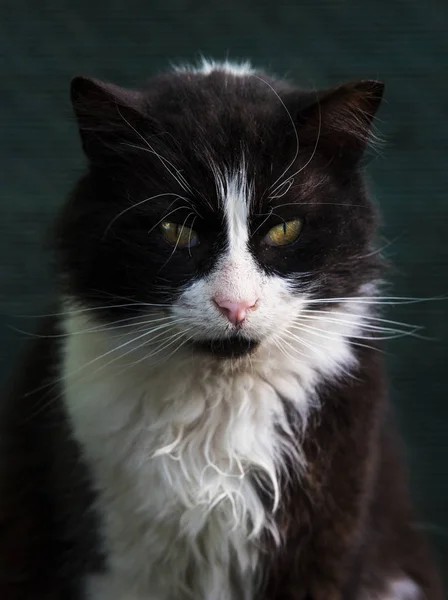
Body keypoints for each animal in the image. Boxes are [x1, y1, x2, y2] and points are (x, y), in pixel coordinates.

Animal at [0, 57, 440, 600]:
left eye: (284, 230)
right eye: (175, 231)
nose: (236, 305)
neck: (216, 410)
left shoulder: (326, 538)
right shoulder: (112, 558)